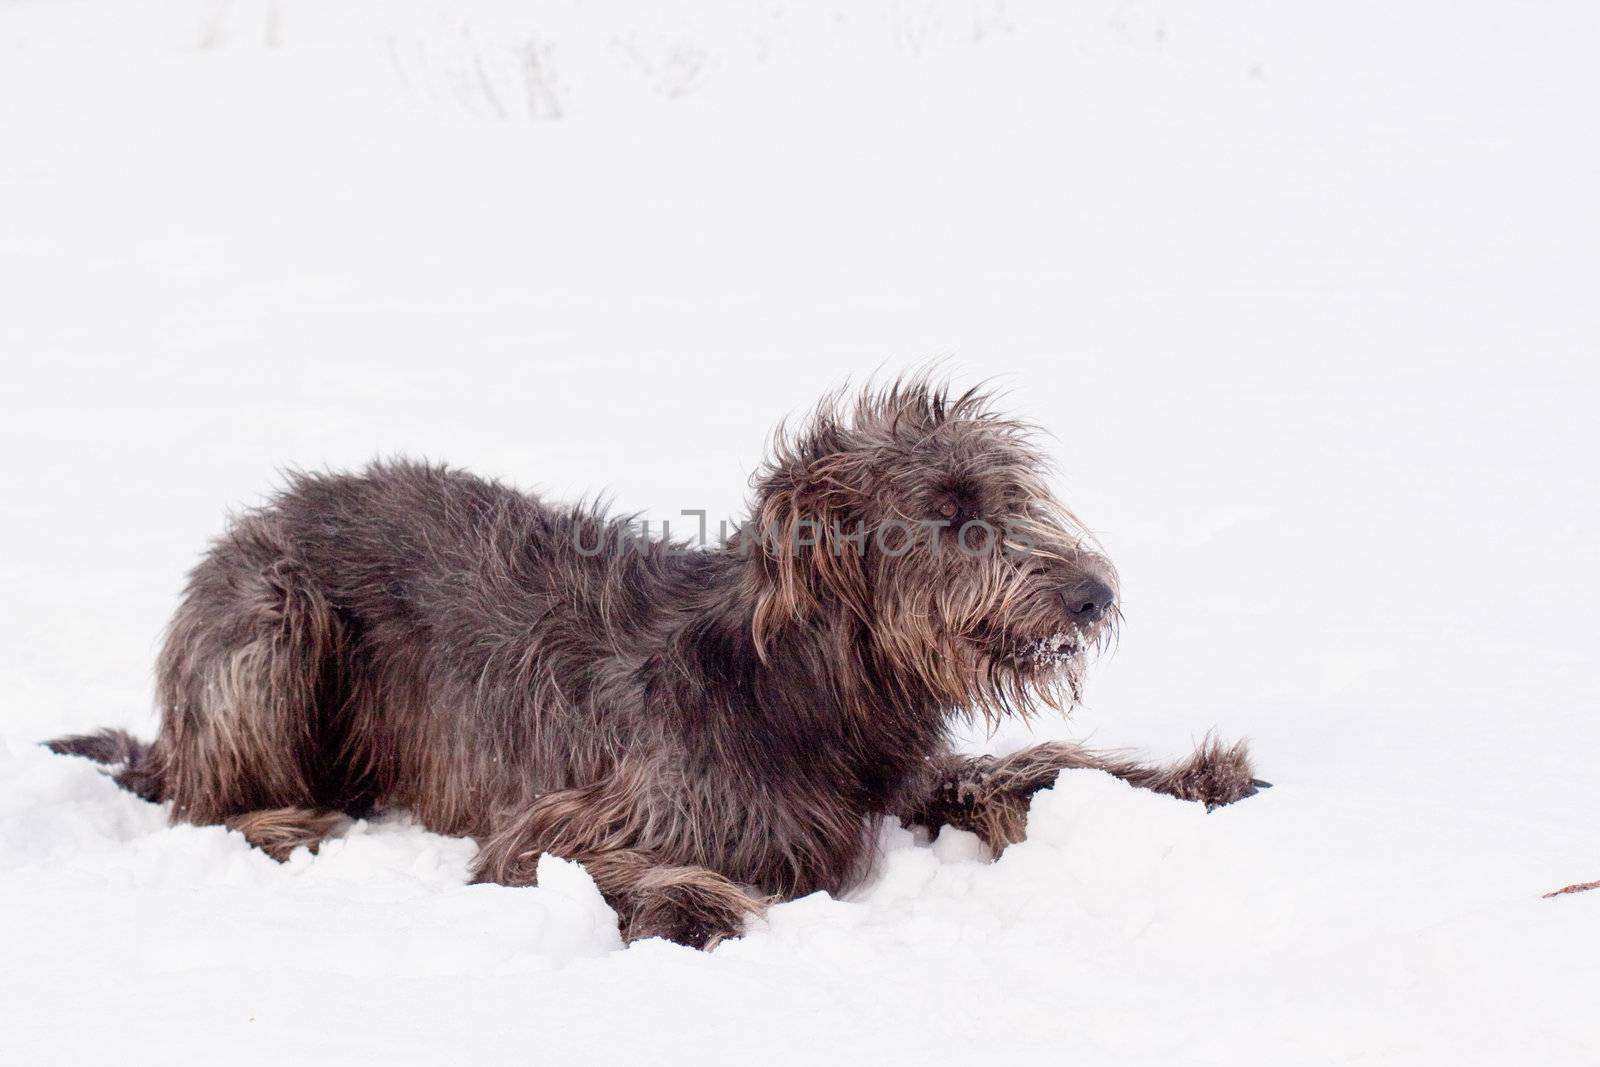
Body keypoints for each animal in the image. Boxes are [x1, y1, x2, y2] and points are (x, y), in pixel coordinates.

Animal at [46, 379, 1260, 947]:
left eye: (1011, 497)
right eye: (951, 510)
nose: (1095, 594)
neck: (800, 687)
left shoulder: (899, 774)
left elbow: (1040, 764)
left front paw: (1195, 780)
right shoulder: (572, 817)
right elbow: (572, 859)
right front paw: (700, 903)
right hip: (274, 618)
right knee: (205, 801)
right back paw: (291, 823)